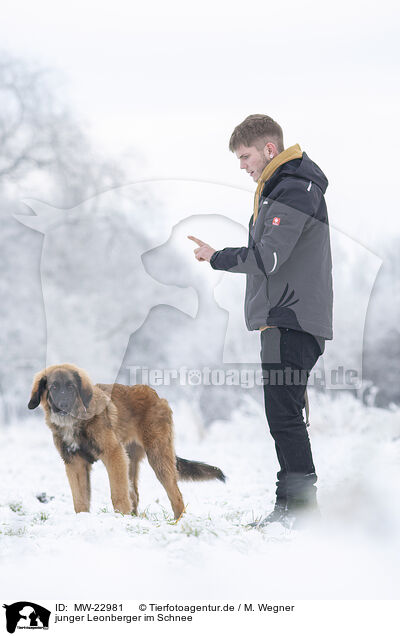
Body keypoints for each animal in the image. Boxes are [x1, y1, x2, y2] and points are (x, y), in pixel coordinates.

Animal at [28, 366, 225, 520]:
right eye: (54, 387)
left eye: (70, 387)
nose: (63, 405)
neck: (75, 421)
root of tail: (156, 395)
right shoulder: (75, 463)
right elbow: (80, 500)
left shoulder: (113, 454)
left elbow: (117, 494)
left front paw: (119, 517)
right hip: (131, 461)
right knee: (135, 495)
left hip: (158, 458)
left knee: (175, 495)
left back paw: (178, 522)